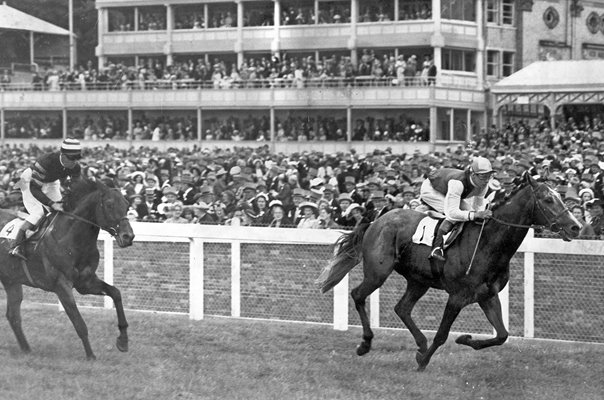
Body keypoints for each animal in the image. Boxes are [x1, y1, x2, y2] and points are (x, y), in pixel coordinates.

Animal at [0, 178, 133, 360]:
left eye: (127, 205)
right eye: (109, 204)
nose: (128, 237)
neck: (70, 237)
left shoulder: (86, 282)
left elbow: (116, 293)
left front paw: (123, 340)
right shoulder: (61, 285)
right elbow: (79, 323)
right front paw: (91, 356)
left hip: (11, 280)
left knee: (13, 315)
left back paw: (26, 349)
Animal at [318, 173, 584, 370]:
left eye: (560, 197)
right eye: (547, 199)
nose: (576, 226)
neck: (487, 242)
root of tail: (377, 219)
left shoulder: (487, 295)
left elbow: (502, 334)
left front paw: (465, 339)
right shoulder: (457, 296)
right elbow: (442, 334)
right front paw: (423, 362)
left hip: (419, 280)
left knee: (402, 308)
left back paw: (420, 344)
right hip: (377, 273)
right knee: (358, 295)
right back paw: (365, 344)